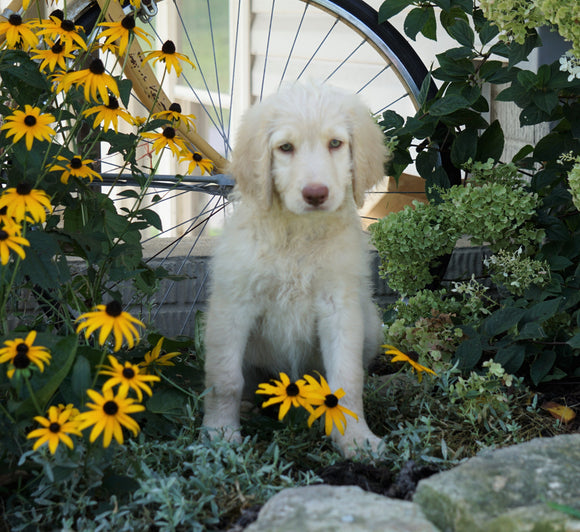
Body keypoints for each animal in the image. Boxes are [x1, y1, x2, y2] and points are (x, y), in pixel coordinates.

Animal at [202, 83, 388, 458]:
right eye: (285, 148)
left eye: (336, 144)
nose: (315, 194)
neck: (298, 235)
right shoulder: (233, 305)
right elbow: (225, 378)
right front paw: (220, 432)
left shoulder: (340, 307)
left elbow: (348, 379)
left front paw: (355, 438)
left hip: (371, 325)